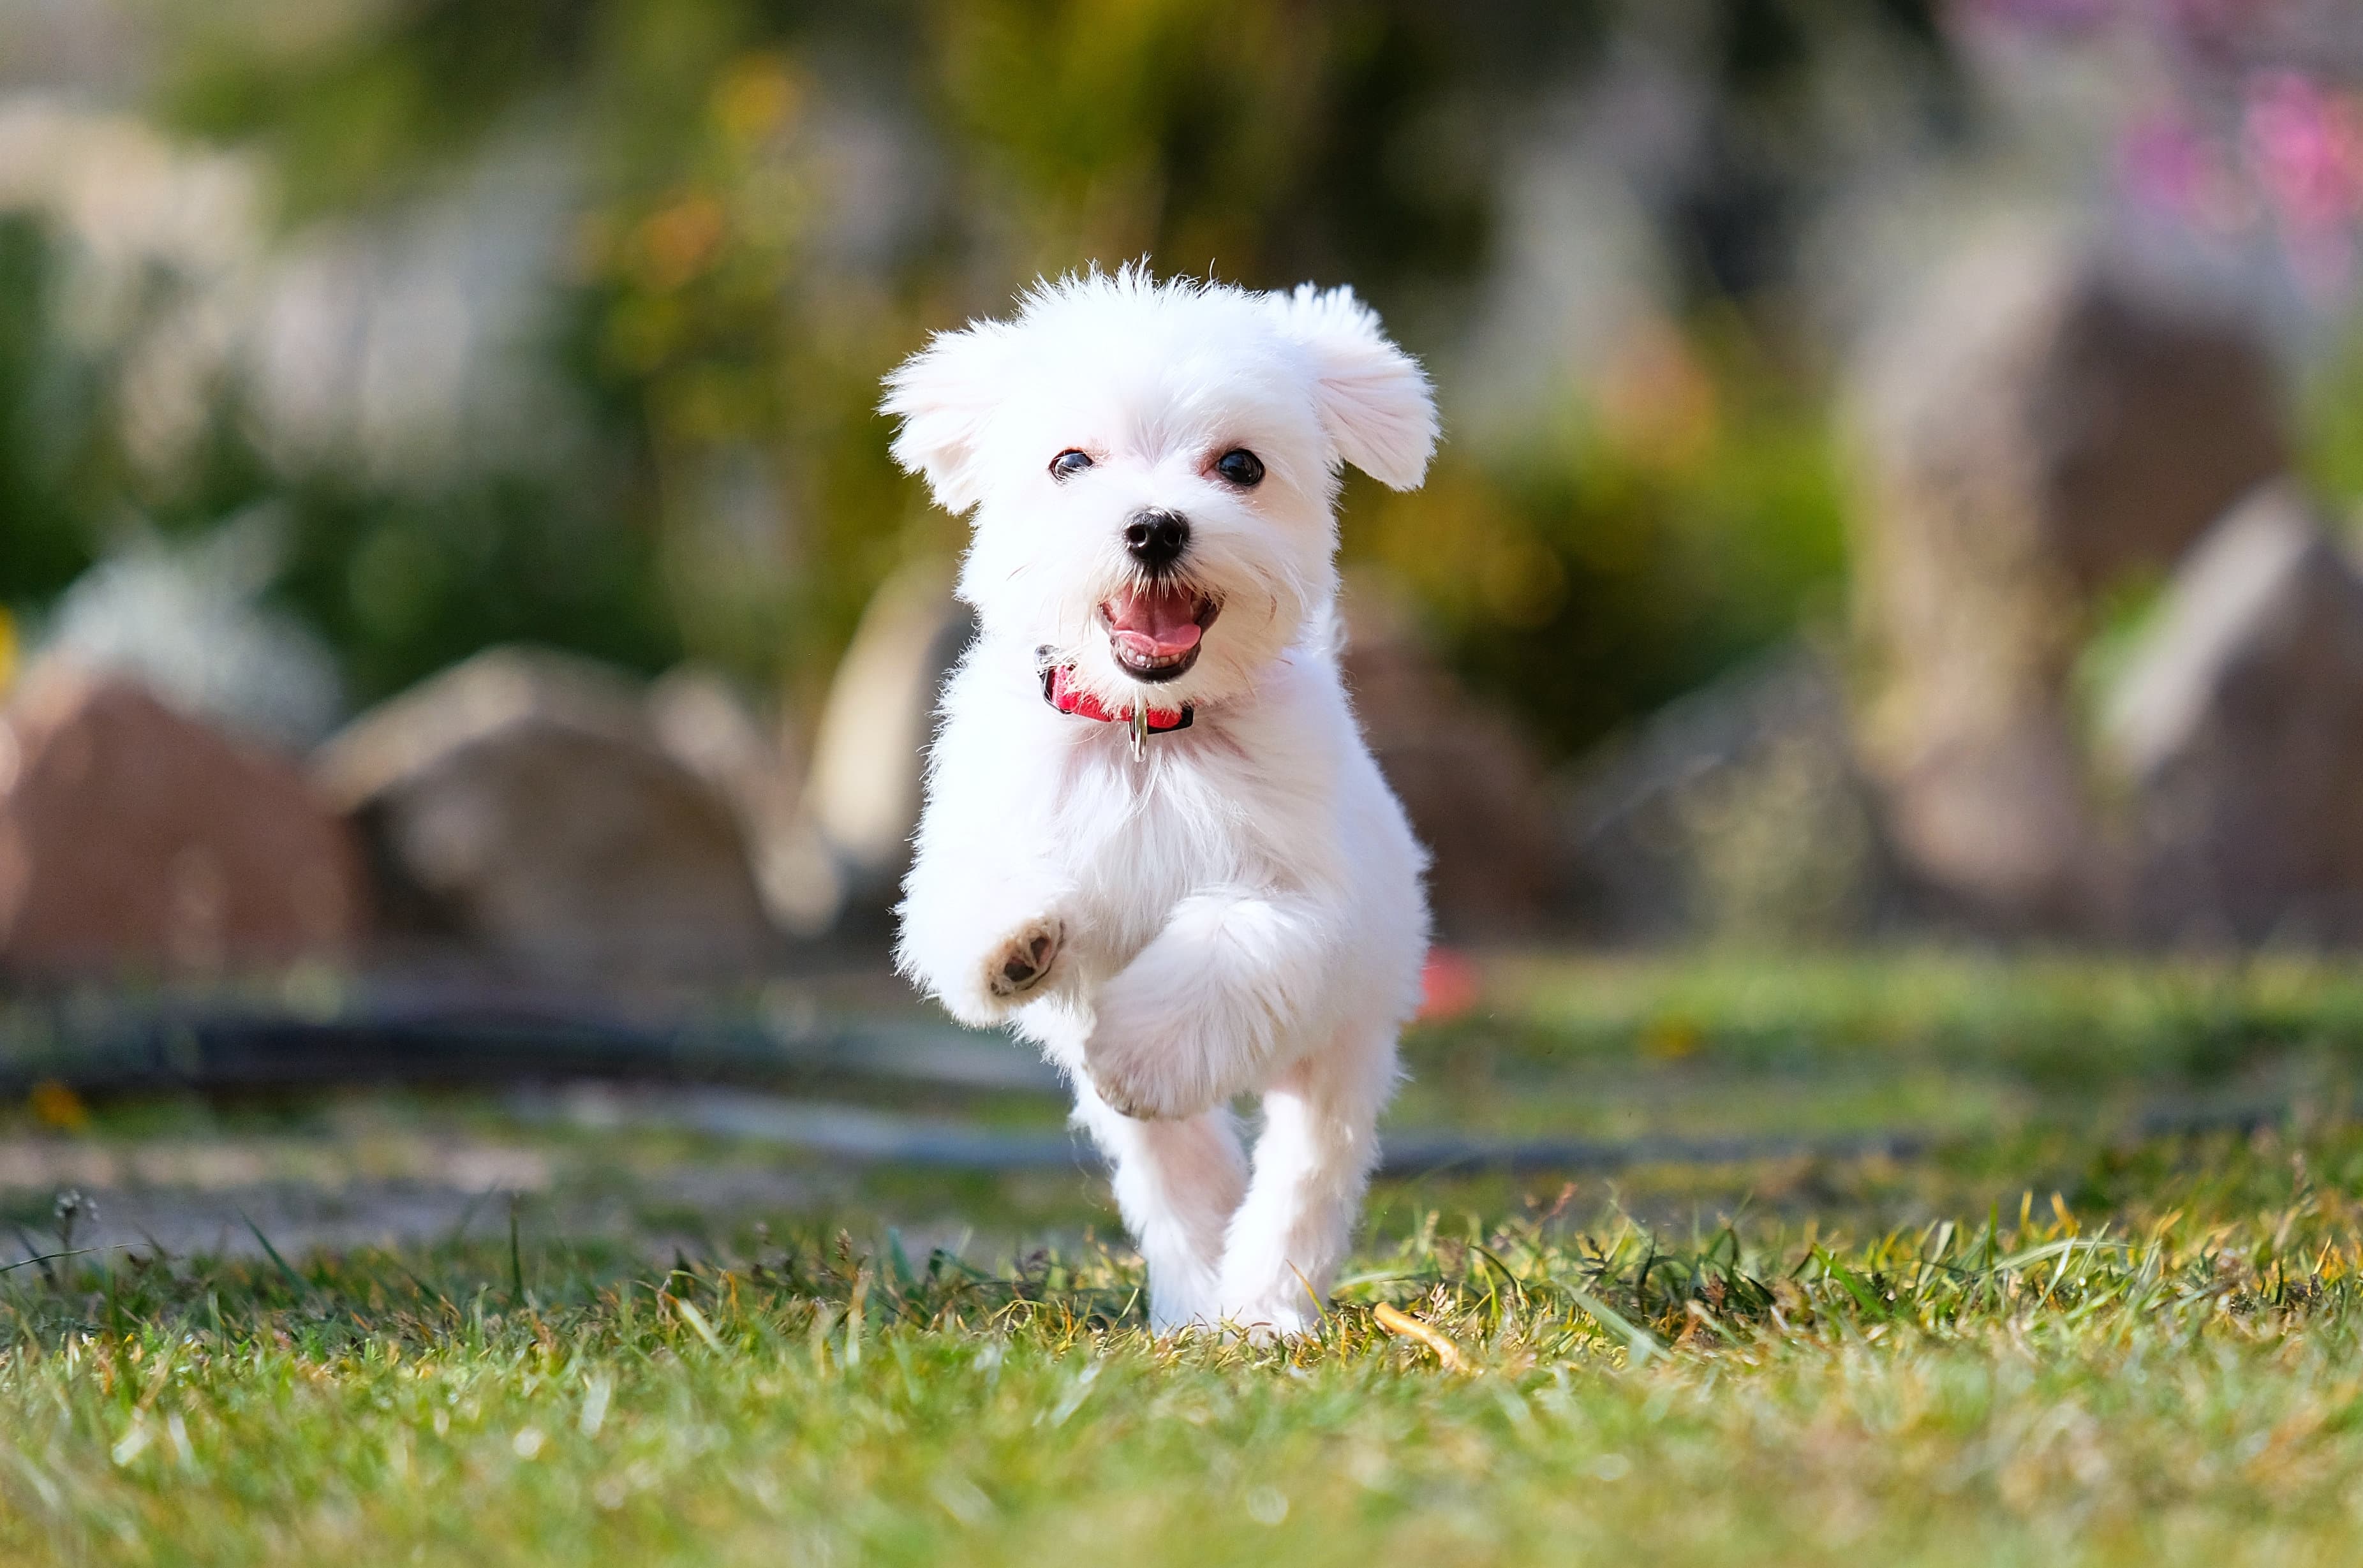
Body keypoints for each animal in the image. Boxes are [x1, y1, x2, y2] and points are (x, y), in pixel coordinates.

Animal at [888, 260, 1437, 1331]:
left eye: (1241, 466)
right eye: (1070, 461)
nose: (1153, 526)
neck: (1148, 732)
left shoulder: (1299, 902)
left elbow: (1224, 946)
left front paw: (1146, 1054)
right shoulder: (992, 824)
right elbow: (975, 891)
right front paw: (1014, 942)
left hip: (1343, 1049)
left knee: (1302, 1176)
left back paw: (1263, 1305)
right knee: (1180, 1176)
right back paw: (1195, 1297)